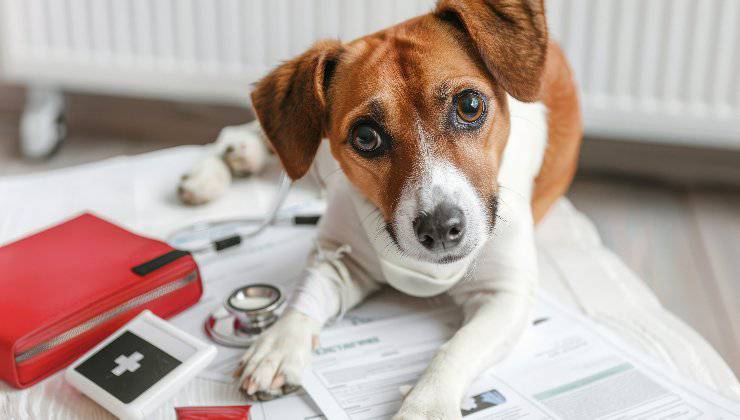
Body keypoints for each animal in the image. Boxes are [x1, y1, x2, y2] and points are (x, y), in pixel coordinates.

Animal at [228, 1, 580, 418]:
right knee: (272, 139)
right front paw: (279, 344)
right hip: (303, 149)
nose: (441, 228)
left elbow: (458, 347)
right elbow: (308, 289)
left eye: (470, 105)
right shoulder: (339, 256)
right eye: (365, 136)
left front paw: (426, 404)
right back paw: (228, 160)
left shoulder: (506, 294)